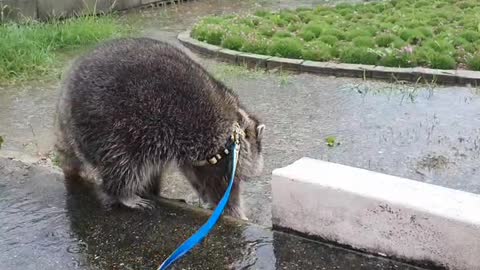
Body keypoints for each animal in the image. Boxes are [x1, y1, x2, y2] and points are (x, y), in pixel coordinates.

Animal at [57, 37, 266, 219]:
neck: (236, 129)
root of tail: (66, 102)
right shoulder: (219, 153)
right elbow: (220, 187)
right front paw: (234, 212)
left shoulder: (201, 158)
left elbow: (197, 176)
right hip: (117, 127)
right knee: (124, 164)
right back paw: (123, 193)